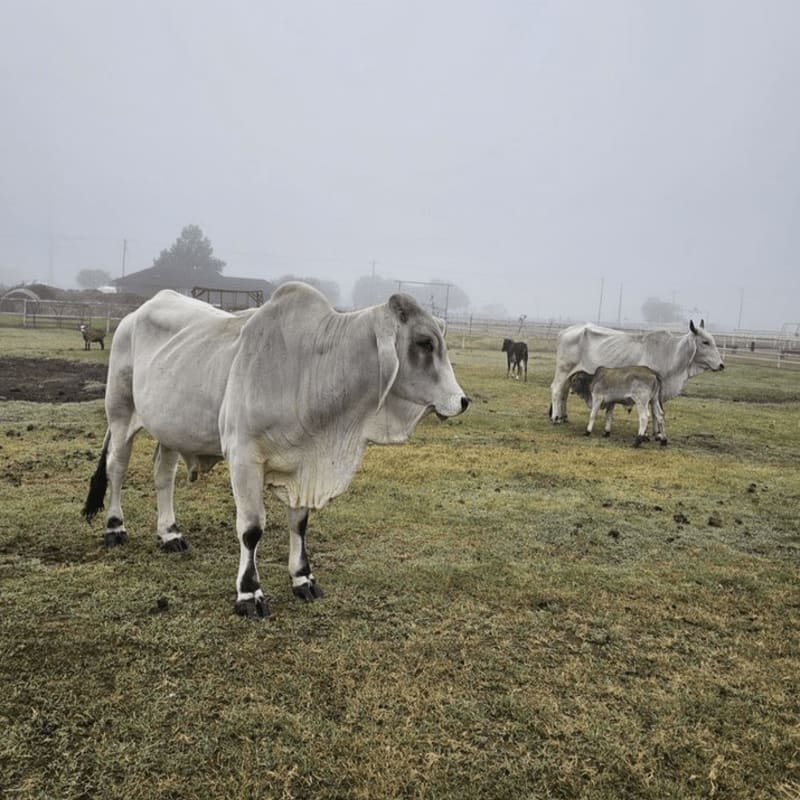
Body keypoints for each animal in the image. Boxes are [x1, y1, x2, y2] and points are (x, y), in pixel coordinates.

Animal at [82, 283, 469, 620]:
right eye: (424, 342)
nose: (462, 401)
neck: (310, 369)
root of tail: (134, 314)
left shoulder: (304, 464)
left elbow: (299, 523)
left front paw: (303, 578)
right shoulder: (243, 457)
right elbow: (251, 528)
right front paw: (248, 592)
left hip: (171, 430)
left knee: (163, 475)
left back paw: (170, 534)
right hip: (120, 414)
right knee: (117, 468)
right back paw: (114, 528)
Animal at [550, 320, 724, 423]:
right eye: (705, 342)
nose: (721, 365)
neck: (670, 351)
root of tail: (565, 331)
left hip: (571, 374)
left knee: (564, 392)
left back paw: (563, 417)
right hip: (563, 370)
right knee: (557, 390)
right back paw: (555, 417)